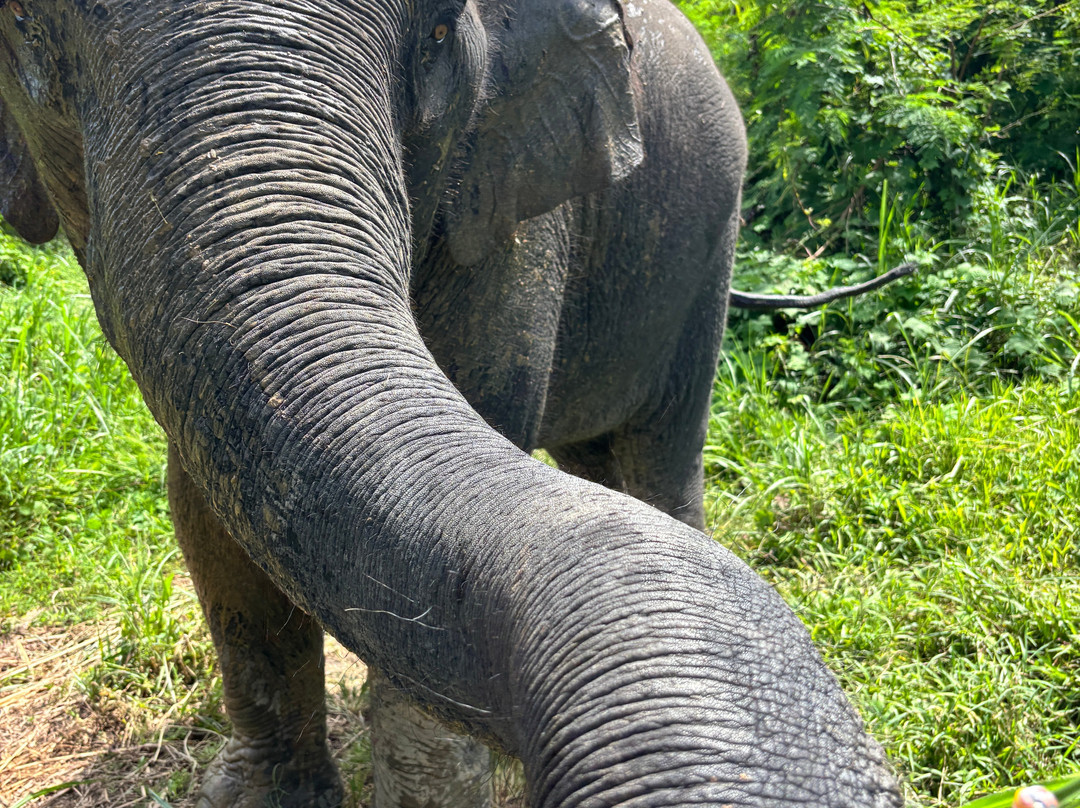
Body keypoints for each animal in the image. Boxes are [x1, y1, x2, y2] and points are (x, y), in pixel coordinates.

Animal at [0, 0, 903, 806]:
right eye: (25, 28)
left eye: (437, 30)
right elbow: (213, 510)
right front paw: (265, 799)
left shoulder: (513, 209)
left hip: (707, 240)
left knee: (659, 448)